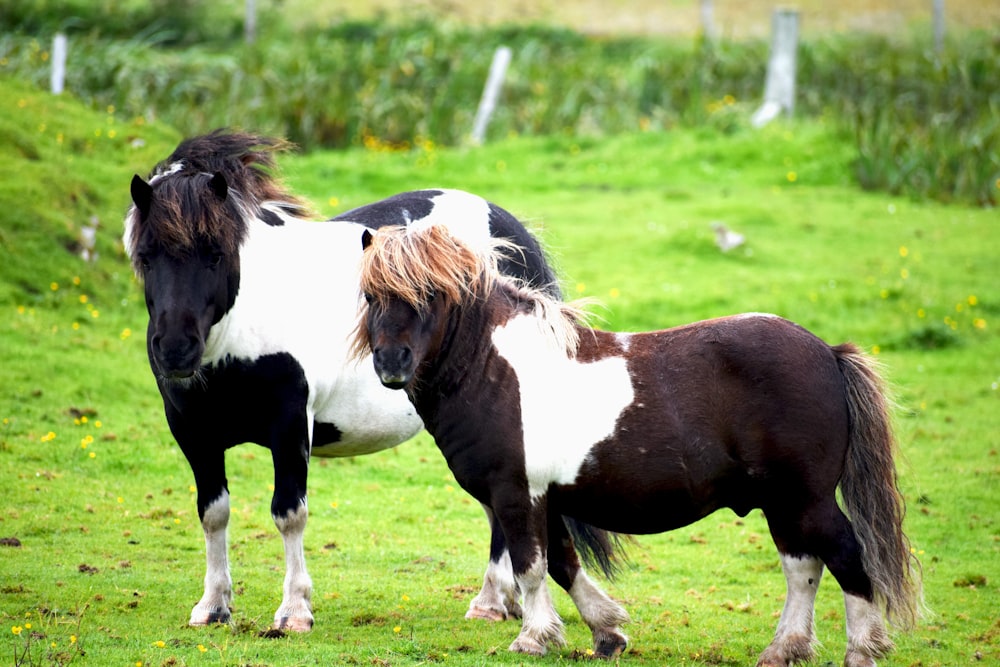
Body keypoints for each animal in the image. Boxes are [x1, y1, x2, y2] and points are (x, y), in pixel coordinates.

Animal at [124, 130, 584, 632]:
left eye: (215, 254)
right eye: (146, 257)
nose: (175, 349)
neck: (239, 331)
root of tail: (509, 234)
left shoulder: (289, 424)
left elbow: (289, 514)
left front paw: (294, 611)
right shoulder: (194, 432)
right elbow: (213, 514)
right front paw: (213, 605)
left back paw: (489, 601)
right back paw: (505, 601)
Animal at [354, 226, 920, 667]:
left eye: (430, 293)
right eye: (370, 296)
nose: (392, 363)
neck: (494, 370)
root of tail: (827, 352)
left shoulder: (517, 495)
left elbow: (531, 568)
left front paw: (534, 638)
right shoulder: (546, 499)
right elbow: (563, 565)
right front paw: (606, 632)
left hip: (804, 498)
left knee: (844, 555)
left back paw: (861, 649)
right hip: (783, 503)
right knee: (803, 567)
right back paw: (784, 649)